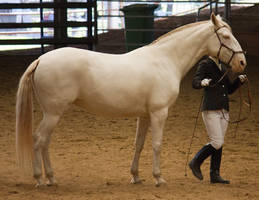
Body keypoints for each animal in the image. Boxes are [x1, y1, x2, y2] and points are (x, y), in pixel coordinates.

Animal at [15, 13, 247, 187]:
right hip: (53, 113)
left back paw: (51, 178)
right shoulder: (159, 113)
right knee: (39, 139)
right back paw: (41, 179)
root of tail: (40, 59)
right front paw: (158, 178)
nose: (242, 62)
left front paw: (135, 176)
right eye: (225, 36)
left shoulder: (144, 115)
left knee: (44, 142)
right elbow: (157, 144)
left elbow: (139, 144)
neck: (165, 60)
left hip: (52, 114)